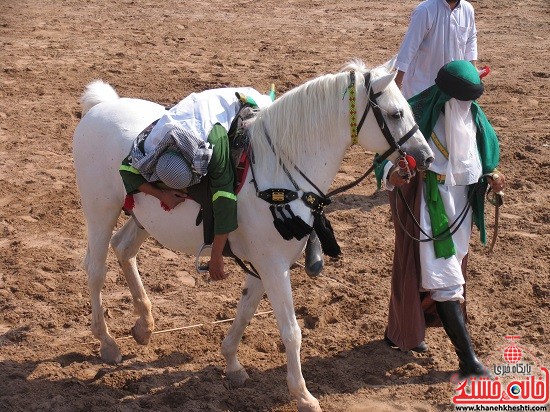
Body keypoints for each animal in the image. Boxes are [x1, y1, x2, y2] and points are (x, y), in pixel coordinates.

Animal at [73, 59, 436, 410]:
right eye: (396, 113)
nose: (427, 157)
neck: (282, 173)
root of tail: (100, 107)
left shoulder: (266, 266)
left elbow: (246, 311)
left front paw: (232, 364)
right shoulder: (274, 266)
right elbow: (291, 331)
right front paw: (303, 395)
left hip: (141, 219)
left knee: (124, 249)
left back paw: (144, 326)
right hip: (100, 211)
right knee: (96, 270)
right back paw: (107, 343)